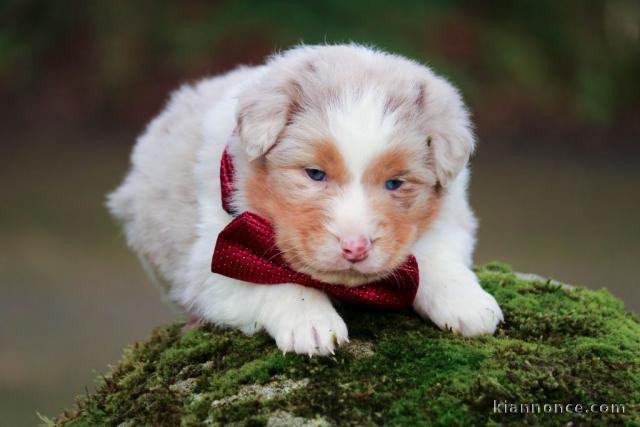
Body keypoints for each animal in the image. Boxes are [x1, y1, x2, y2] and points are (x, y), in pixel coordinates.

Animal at [109, 45, 500, 356]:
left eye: (395, 183)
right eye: (314, 174)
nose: (355, 247)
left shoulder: (451, 217)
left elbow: (435, 258)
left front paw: (467, 302)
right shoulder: (211, 259)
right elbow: (273, 278)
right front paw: (310, 322)